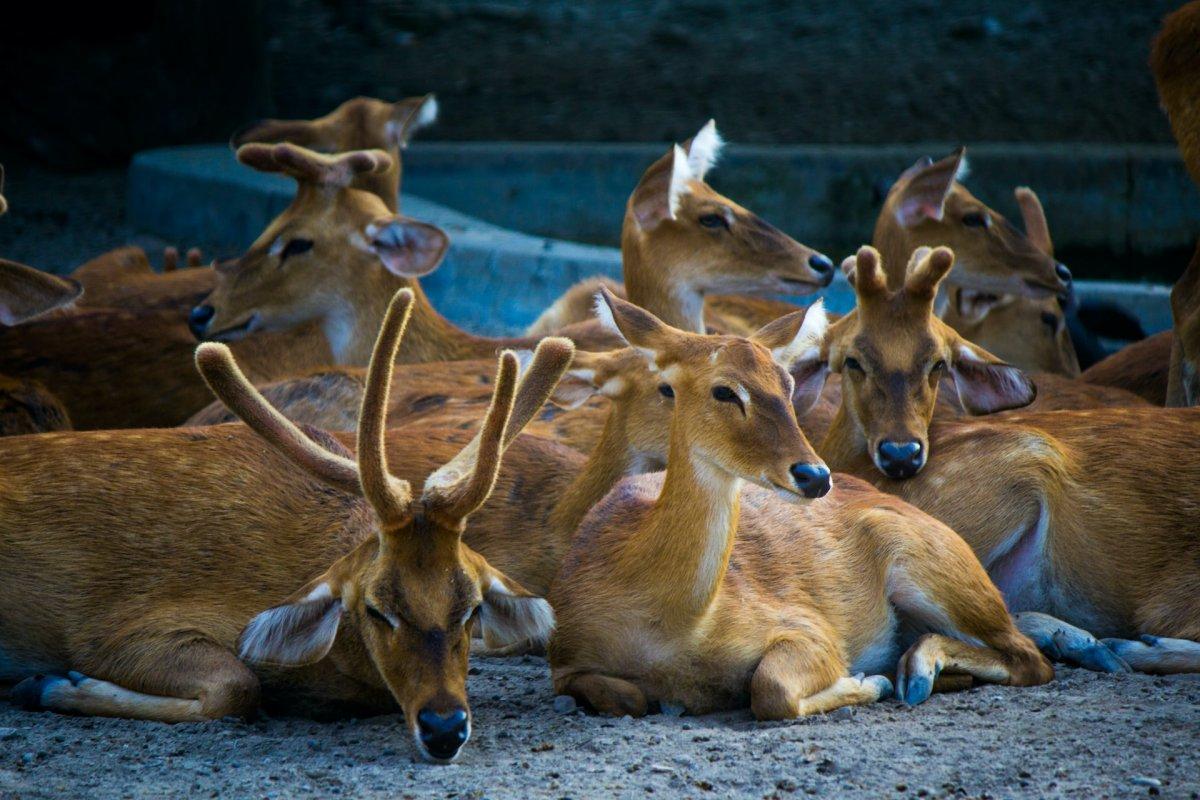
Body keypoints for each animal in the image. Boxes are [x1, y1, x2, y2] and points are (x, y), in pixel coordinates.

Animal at [1, 289, 571, 762]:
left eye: (473, 608)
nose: (445, 727)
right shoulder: (111, 627)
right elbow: (236, 686)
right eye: (375, 609)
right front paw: (49, 684)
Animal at [544, 291, 1051, 724]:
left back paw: (916, 670)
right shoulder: (563, 656)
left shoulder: (808, 626)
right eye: (723, 390)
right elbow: (623, 694)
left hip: (932, 565)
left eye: (788, 384)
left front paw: (866, 681)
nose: (815, 475)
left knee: (1031, 657)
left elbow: (770, 688)